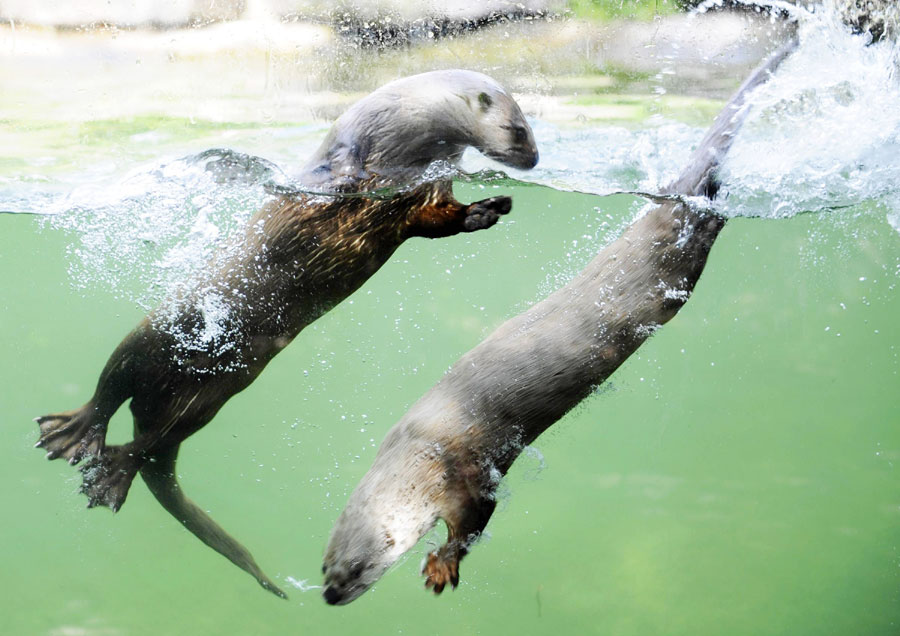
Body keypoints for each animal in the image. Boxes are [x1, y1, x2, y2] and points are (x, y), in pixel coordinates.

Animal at [35, 71, 536, 600]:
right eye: (519, 130)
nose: (534, 160)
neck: (399, 142)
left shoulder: (426, 195)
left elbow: (439, 220)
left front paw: (487, 208)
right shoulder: (354, 157)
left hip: (209, 395)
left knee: (152, 439)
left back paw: (108, 472)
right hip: (155, 334)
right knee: (110, 385)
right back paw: (71, 434)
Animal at [320, 41, 800, 608]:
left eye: (358, 568)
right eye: (325, 563)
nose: (329, 595)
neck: (421, 451)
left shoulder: (466, 473)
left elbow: (474, 523)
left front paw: (442, 565)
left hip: (673, 260)